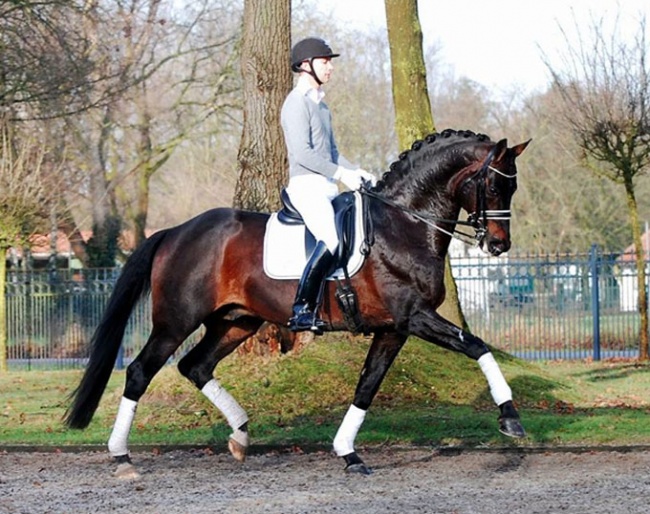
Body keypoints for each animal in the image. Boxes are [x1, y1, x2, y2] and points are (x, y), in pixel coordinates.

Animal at [64, 129, 532, 476]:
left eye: (513, 186)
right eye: (494, 184)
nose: (498, 245)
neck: (403, 225)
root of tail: (175, 231)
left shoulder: (393, 329)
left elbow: (367, 385)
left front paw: (348, 452)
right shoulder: (415, 317)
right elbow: (477, 346)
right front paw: (510, 418)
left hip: (236, 322)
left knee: (195, 366)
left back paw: (240, 435)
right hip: (175, 322)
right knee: (141, 371)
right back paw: (121, 456)